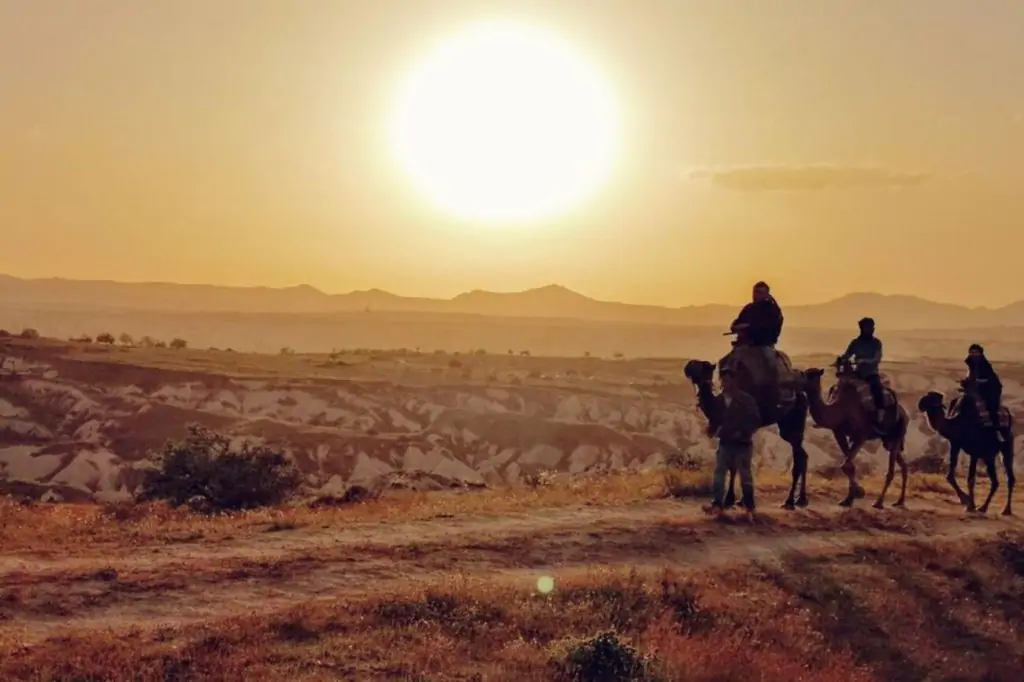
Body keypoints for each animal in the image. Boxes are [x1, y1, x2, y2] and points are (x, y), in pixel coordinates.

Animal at [684, 358, 811, 507]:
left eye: (703, 366)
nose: (688, 366)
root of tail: (802, 396)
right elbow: (737, 464)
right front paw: (738, 500)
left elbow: (735, 465)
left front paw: (730, 498)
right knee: (803, 455)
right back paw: (800, 498)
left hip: (792, 425)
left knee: (799, 457)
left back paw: (792, 500)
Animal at [802, 360, 909, 503]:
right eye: (804, 373)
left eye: (811, 376)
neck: (839, 408)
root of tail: (904, 414)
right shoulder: (839, 433)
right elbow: (849, 465)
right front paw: (852, 495)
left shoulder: (861, 435)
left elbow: (846, 465)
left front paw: (854, 495)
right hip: (887, 440)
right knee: (903, 465)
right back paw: (899, 501)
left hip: (896, 434)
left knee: (891, 470)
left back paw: (879, 502)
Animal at [917, 387, 1011, 516]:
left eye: (932, 398)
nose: (920, 404)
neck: (958, 423)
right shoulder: (955, 444)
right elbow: (950, 476)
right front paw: (967, 501)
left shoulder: (975, 452)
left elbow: (971, 479)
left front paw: (970, 505)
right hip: (990, 455)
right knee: (999, 480)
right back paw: (991, 508)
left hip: (1003, 448)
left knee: (1005, 479)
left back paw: (999, 509)